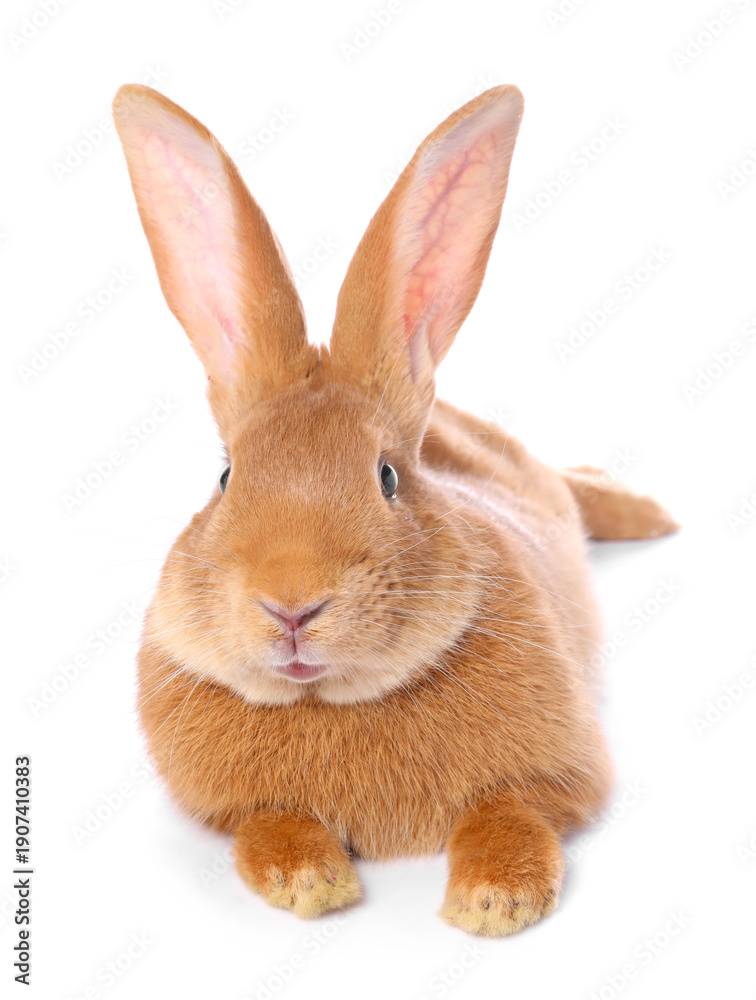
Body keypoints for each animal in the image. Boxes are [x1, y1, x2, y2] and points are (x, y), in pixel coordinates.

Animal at [112, 83, 678, 937]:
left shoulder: (554, 774)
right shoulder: (232, 809)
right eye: (225, 476)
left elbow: (508, 813)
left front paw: (495, 902)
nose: (291, 606)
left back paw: (647, 513)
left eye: (386, 476)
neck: (335, 699)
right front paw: (311, 882)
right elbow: (268, 825)